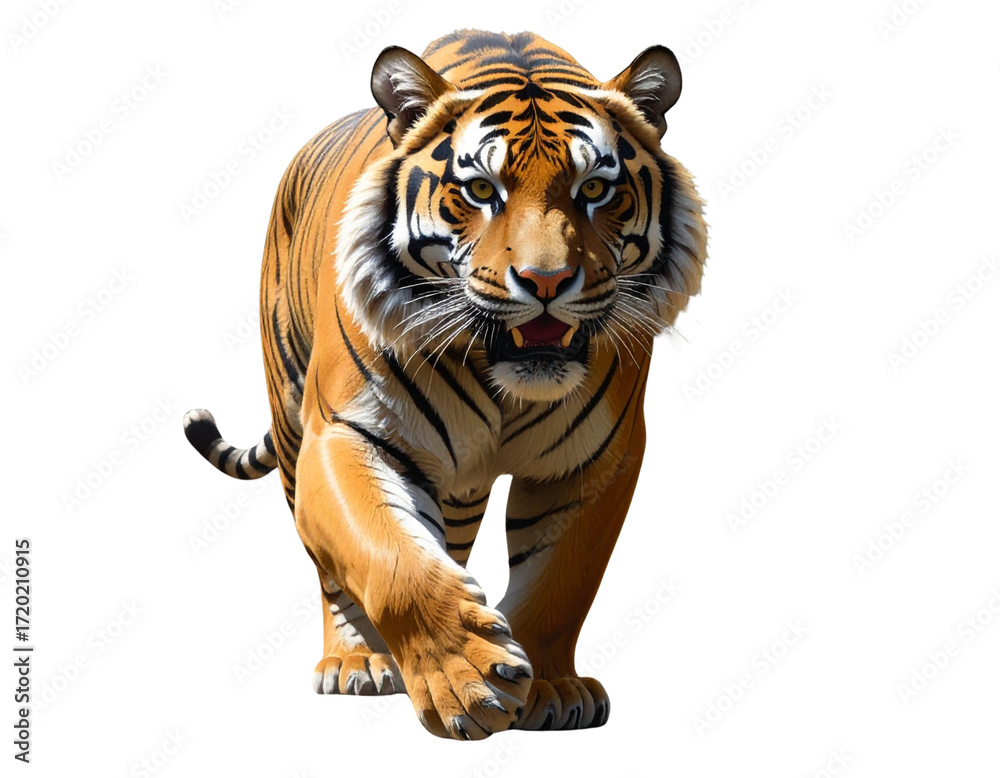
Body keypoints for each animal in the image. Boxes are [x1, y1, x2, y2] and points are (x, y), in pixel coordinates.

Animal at [184, 29, 707, 740]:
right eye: (481, 189)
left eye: (596, 188)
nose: (545, 282)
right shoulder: (344, 433)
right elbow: (387, 554)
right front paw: (468, 680)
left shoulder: (598, 459)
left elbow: (562, 581)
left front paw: (548, 688)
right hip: (293, 423)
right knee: (330, 571)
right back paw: (358, 663)